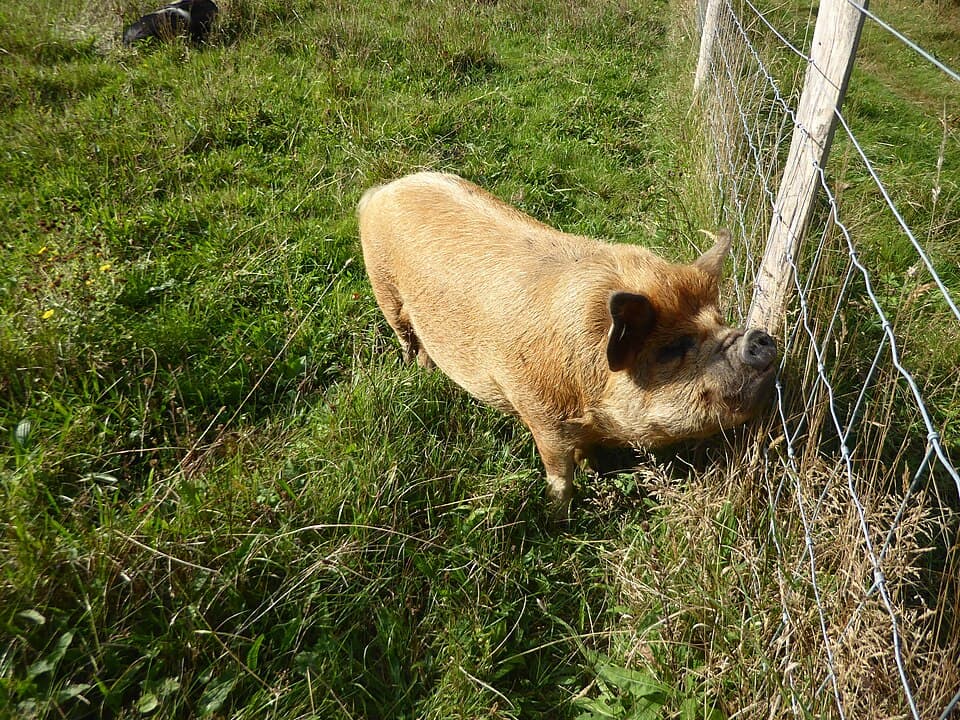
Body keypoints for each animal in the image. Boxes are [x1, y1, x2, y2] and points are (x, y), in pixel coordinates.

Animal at [357, 172, 777, 507]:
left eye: (721, 320)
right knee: (407, 337)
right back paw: (420, 372)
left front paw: (595, 473)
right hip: (385, 289)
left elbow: (585, 453)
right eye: (673, 348)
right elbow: (558, 468)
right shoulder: (538, 411)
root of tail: (381, 190)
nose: (760, 338)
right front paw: (559, 511)